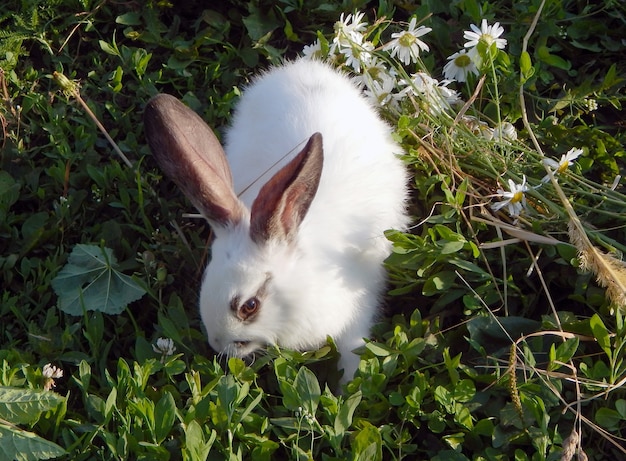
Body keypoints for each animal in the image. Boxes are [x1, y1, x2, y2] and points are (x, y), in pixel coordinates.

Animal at [146, 58, 410, 380]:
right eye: (205, 281)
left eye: (249, 306)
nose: (218, 344)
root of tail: (303, 67)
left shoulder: (360, 308)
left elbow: (354, 352)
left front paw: (350, 385)